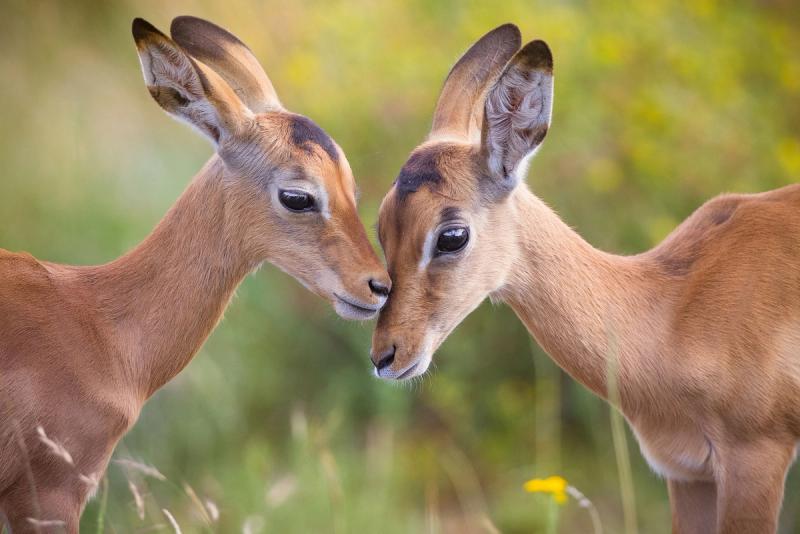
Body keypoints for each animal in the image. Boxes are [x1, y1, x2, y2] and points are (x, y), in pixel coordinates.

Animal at [370, 24, 800, 533]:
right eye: (380, 226)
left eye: (452, 235)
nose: (386, 355)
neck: (672, 311)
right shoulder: (688, 475)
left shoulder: (754, 462)